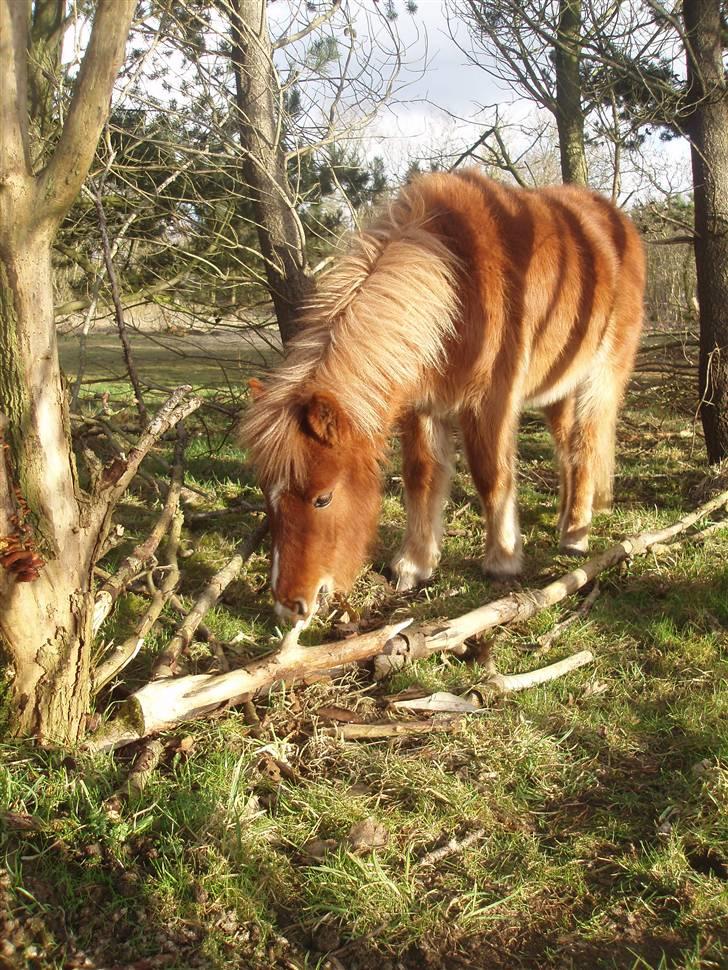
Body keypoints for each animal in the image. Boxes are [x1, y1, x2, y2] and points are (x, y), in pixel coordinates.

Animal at [242, 170, 644, 624]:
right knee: (567, 452)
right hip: (557, 389)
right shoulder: (422, 406)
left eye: (322, 498)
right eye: (267, 496)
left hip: (600, 379)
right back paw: (565, 519)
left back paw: (576, 532)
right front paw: (414, 564)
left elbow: (491, 475)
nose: (288, 607)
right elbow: (421, 477)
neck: (459, 284)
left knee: (586, 445)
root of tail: (616, 221)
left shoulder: (491, 403)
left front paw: (503, 559)